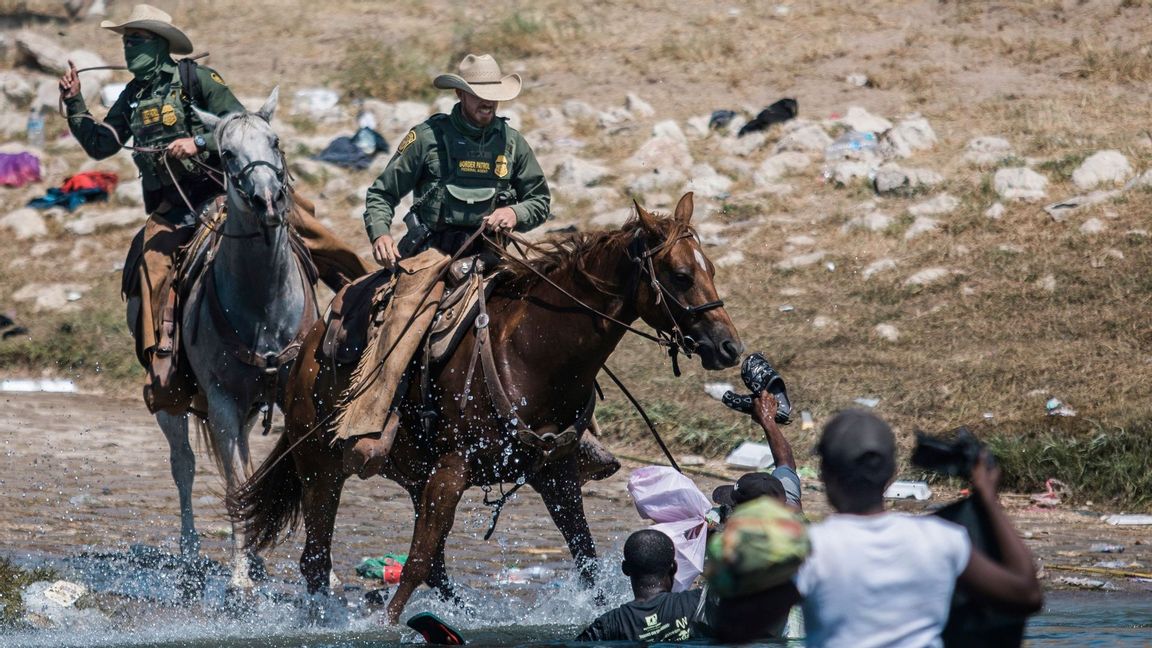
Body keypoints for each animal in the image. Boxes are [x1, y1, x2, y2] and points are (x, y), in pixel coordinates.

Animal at [153, 88, 317, 594]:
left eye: (275, 141)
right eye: (226, 154)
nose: (268, 200)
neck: (264, 304)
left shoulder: (292, 394)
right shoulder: (222, 402)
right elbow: (233, 483)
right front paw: (240, 576)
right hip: (173, 401)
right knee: (184, 465)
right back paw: (193, 557)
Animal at [231, 191, 746, 622]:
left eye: (711, 269)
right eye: (681, 276)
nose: (729, 347)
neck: (533, 352)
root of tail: (309, 346)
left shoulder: (555, 474)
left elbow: (586, 560)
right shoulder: (453, 469)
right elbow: (416, 562)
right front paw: (386, 624)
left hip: (412, 473)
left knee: (433, 566)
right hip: (320, 465)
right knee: (317, 559)